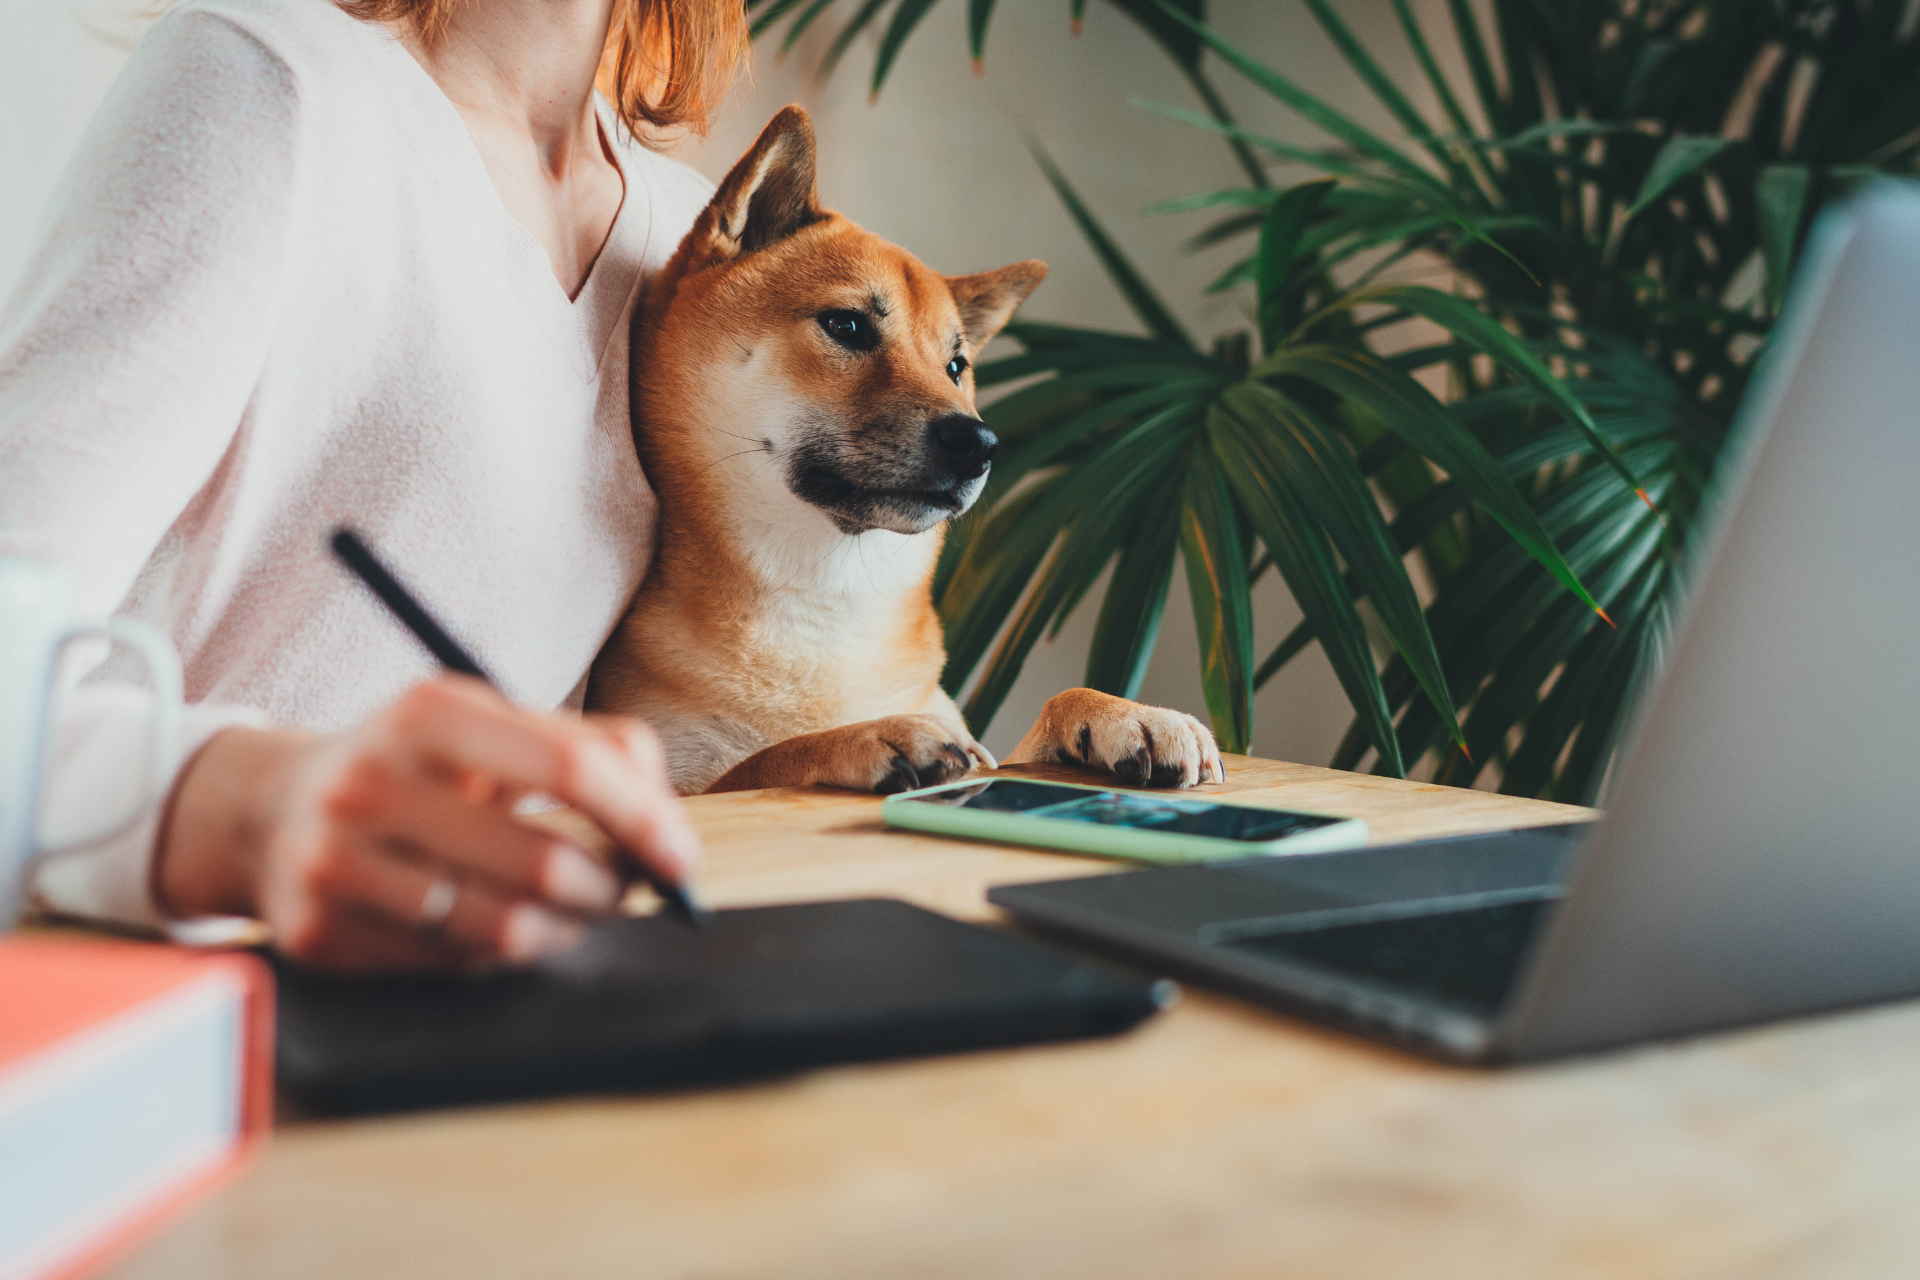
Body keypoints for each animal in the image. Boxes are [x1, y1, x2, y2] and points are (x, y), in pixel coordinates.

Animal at [579, 105, 1228, 794]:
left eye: (956, 365)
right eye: (847, 325)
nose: (981, 443)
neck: (827, 604)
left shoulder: (981, 741)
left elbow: (1039, 722)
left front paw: (1126, 715)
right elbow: (768, 758)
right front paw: (869, 735)